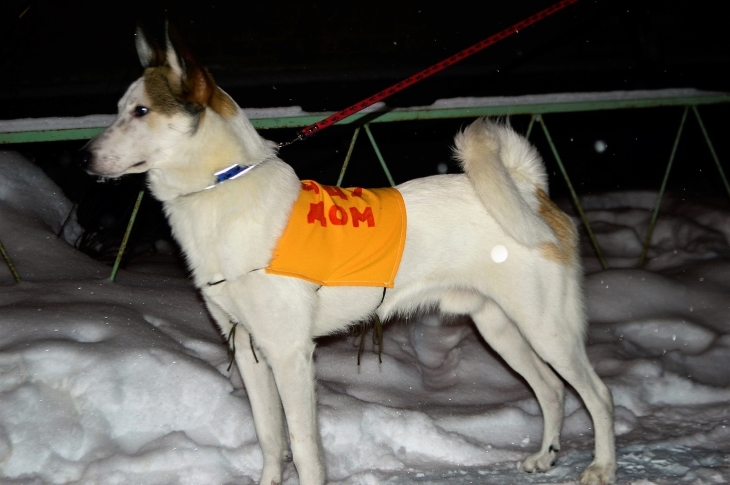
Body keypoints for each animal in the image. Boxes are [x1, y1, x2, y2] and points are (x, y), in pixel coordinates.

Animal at [79, 29, 616, 484]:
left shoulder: (290, 354)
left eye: (141, 111)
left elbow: (302, 446)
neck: (223, 186)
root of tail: (528, 189)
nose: (84, 157)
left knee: (598, 394)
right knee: (551, 389)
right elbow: (270, 439)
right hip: (499, 327)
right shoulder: (248, 350)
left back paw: (602, 468)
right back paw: (545, 457)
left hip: (546, 328)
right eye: (122, 108)